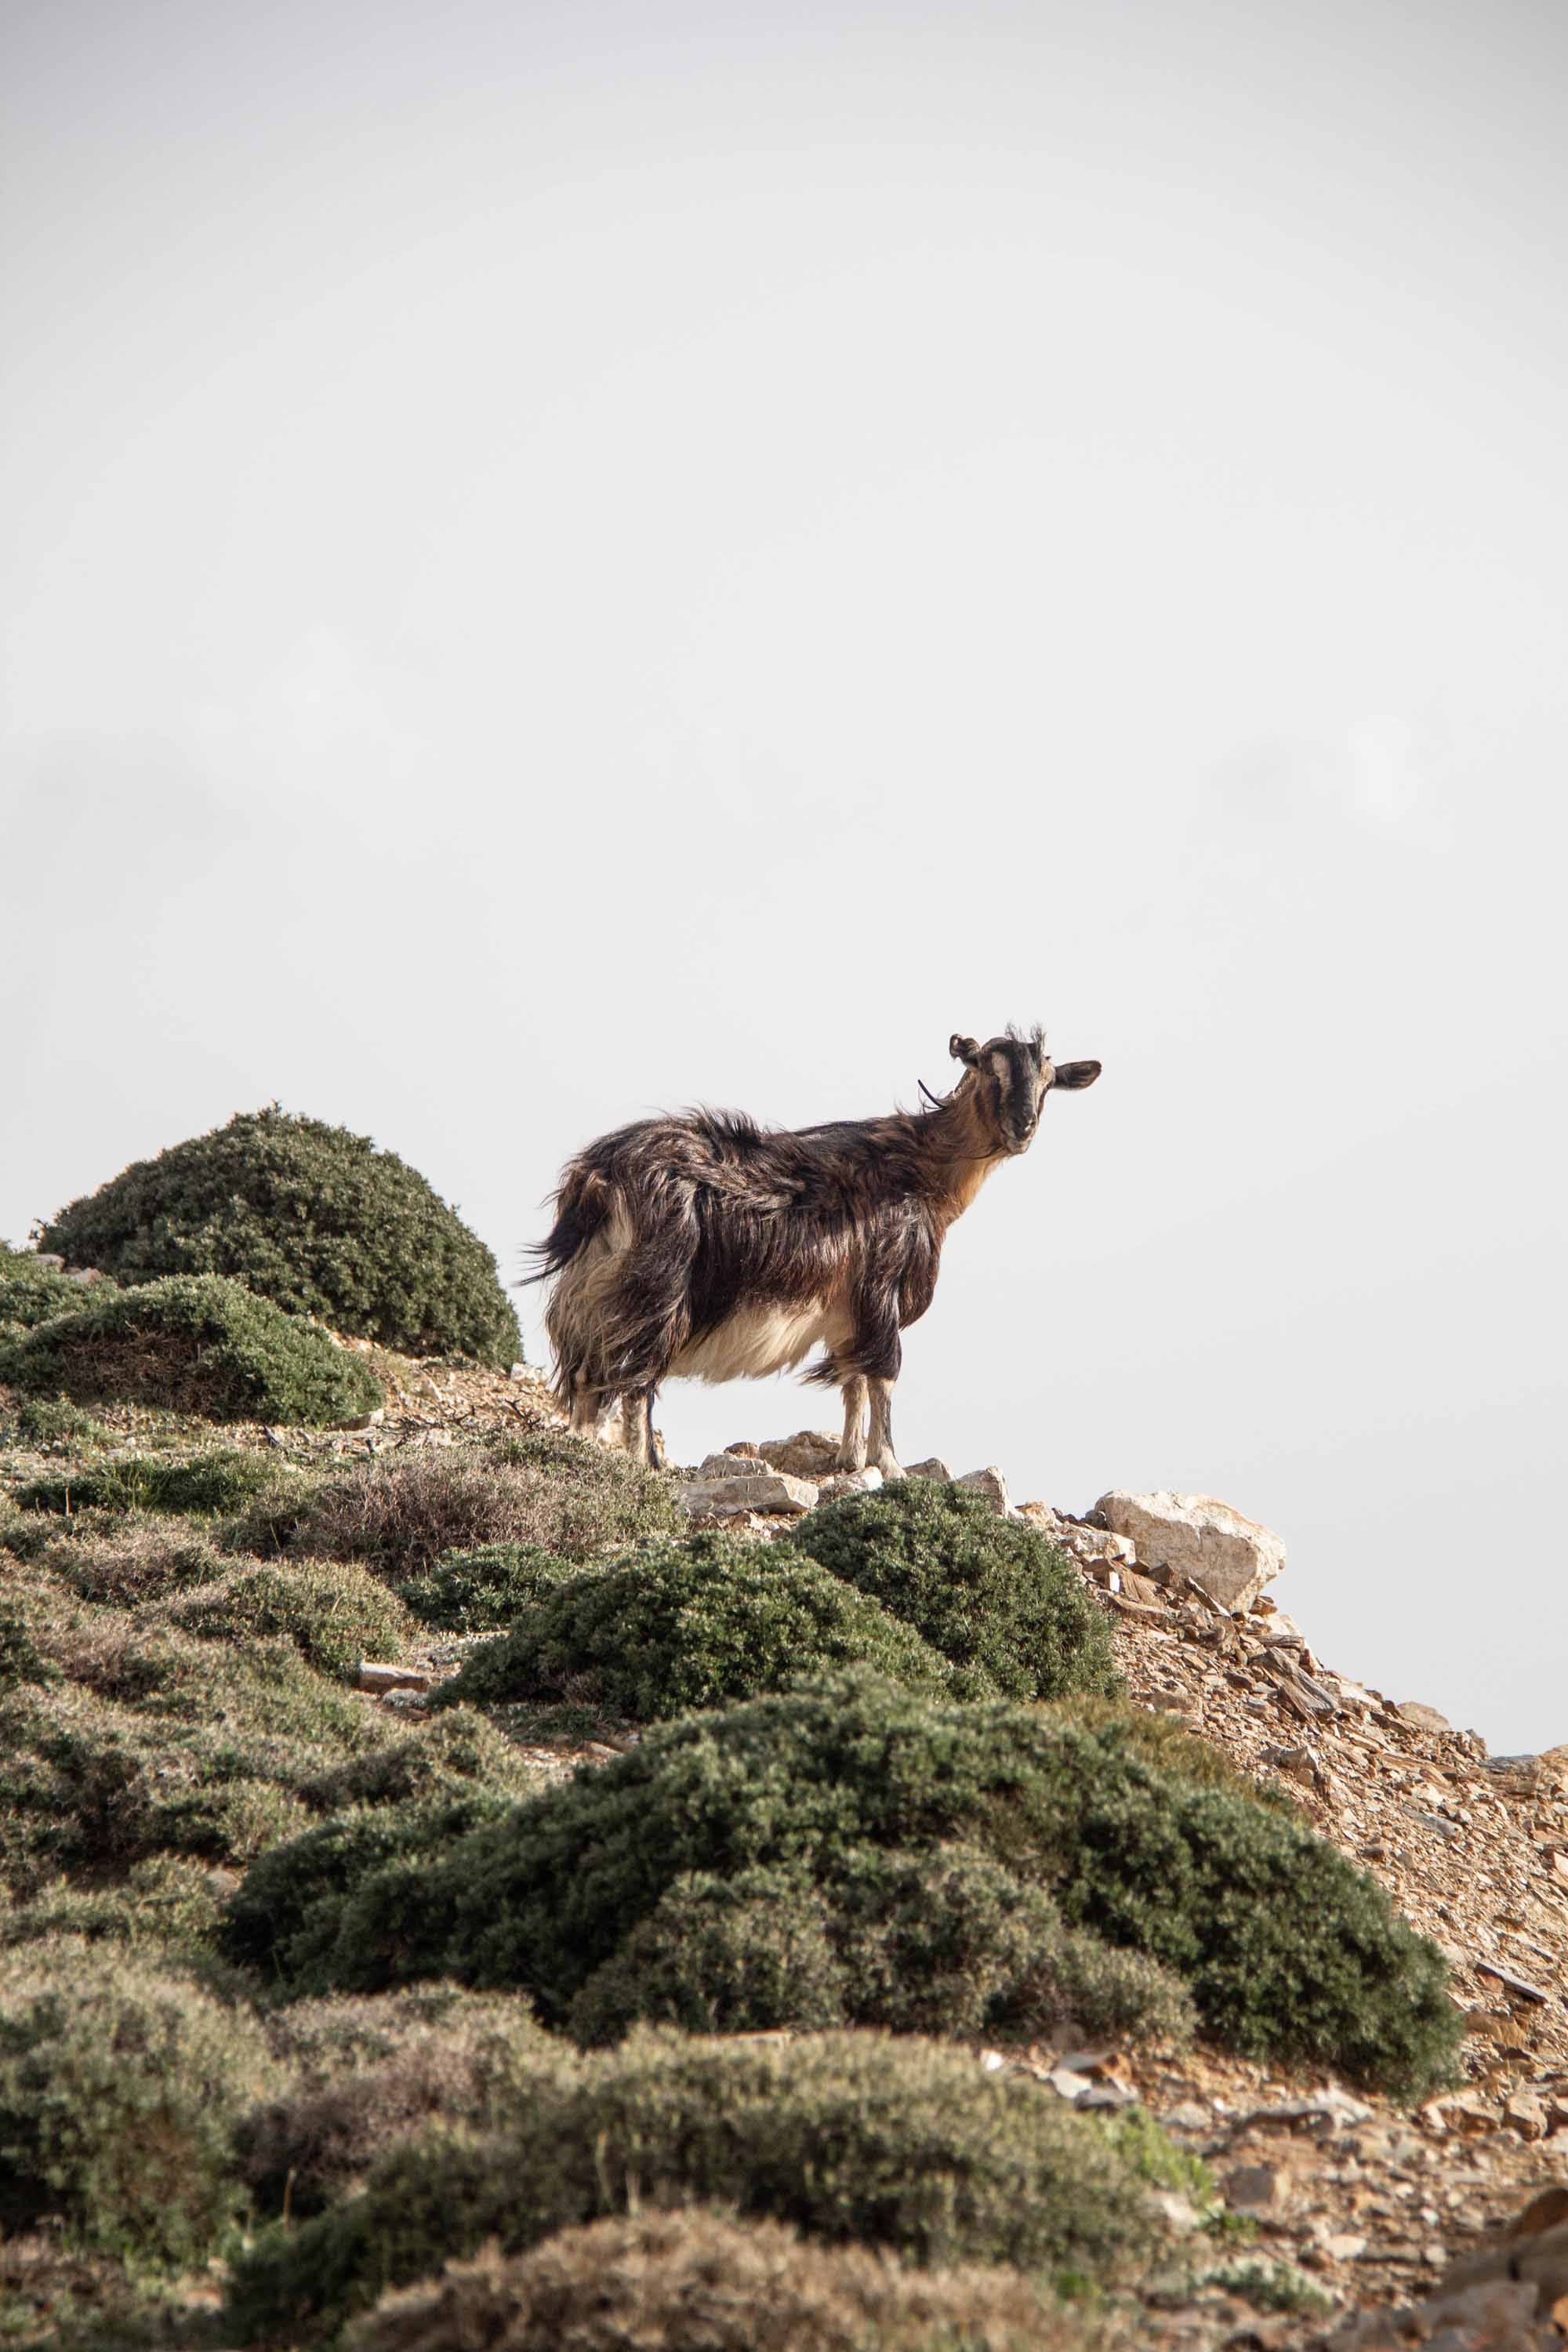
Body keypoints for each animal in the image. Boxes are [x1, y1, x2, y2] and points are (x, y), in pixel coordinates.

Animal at [531, 1025, 1101, 1475]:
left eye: (1048, 1082)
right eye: (987, 1069)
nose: (1022, 1127)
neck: (921, 1168)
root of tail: (598, 1178)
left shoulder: (847, 1309)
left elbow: (852, 1380)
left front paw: (849, 1460)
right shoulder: (882, 1285)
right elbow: (883, 1373)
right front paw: (890, 1465)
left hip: (595, 1290)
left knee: (587, 1380)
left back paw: (582, 1454)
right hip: (657, 1290)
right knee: (636, 1378)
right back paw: (642, 1464)